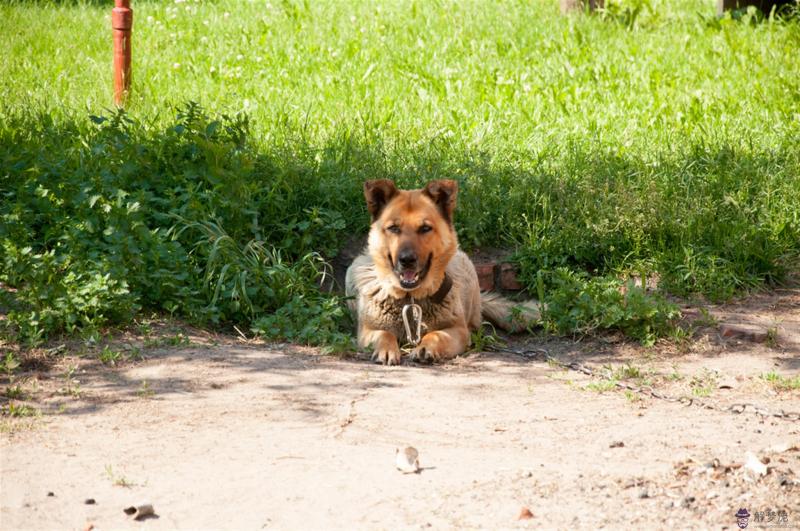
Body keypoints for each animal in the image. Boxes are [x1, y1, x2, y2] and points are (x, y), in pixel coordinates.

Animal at [346, 180, 536, 366]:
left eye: (425, 228)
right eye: (393, 228)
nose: (407, 260)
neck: (411, 298)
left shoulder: (458, 331)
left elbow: (436, 334)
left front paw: (426, 347)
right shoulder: (367, 331)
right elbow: (384, 334)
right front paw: (387, 350)